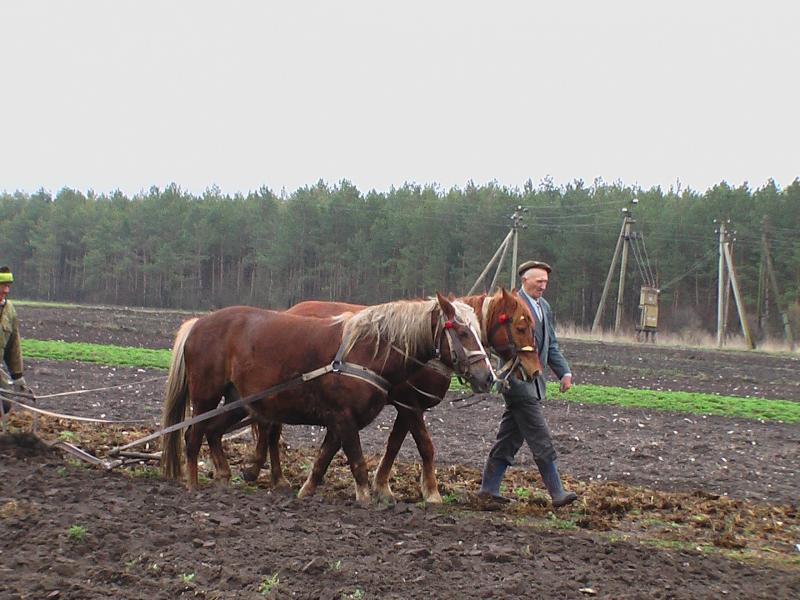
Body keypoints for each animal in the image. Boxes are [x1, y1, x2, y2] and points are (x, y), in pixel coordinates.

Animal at [159, 292, 490, 504]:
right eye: (462, 332)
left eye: (478, 331)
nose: (487, 376)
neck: (366, 351)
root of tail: (198, 323)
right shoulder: (350, 416)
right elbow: (357, 460)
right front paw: (366, 498)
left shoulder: (341, 419)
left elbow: (325, 456)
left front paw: (306, 491)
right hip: (205, 397)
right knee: (192, 435)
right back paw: (193, 484)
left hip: (237, 400)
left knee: (214, 431)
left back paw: (225, 477)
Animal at [242, 288, 544, 504]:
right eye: (520, 327)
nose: (535, 370)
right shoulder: (410, 404)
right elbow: (425, 446)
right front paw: (431, 492)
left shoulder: (405, 407)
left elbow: (394, 444)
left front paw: (382, 487)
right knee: (270, 427)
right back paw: (268, 474)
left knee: (270, 425)